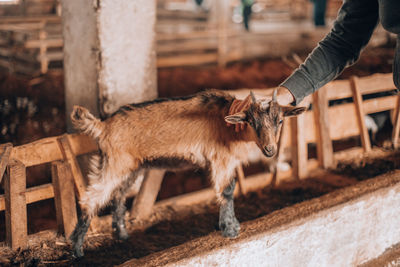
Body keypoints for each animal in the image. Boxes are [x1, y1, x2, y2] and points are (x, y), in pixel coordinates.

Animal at [69, 90, 306, 258]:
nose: (270, 150)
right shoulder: (221, 160)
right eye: (251, 122)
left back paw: (122, 235)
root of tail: (102, 126)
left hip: (131, 166)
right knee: (91, 198)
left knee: (118, 196)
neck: (228, 127)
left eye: (280, 121)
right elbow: (227, 191)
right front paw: (230, 230)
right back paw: (77, 250)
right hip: (115, 163)